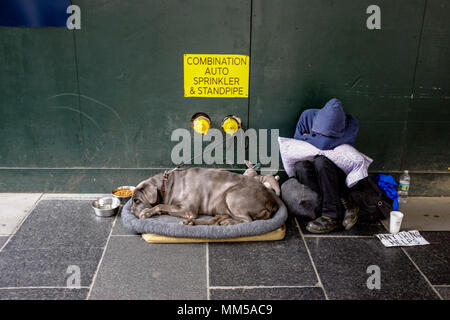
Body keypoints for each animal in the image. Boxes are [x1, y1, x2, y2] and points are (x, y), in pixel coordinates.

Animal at [130, 168, 278, 225]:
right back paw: (192, 223)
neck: (167, 185)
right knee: (214, 220)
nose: (131, 211)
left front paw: (146, 212)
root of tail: (272, 201)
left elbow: (161, 205)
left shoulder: (188, 210)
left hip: (232, 195)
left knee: (248, 220)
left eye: (137, 200)